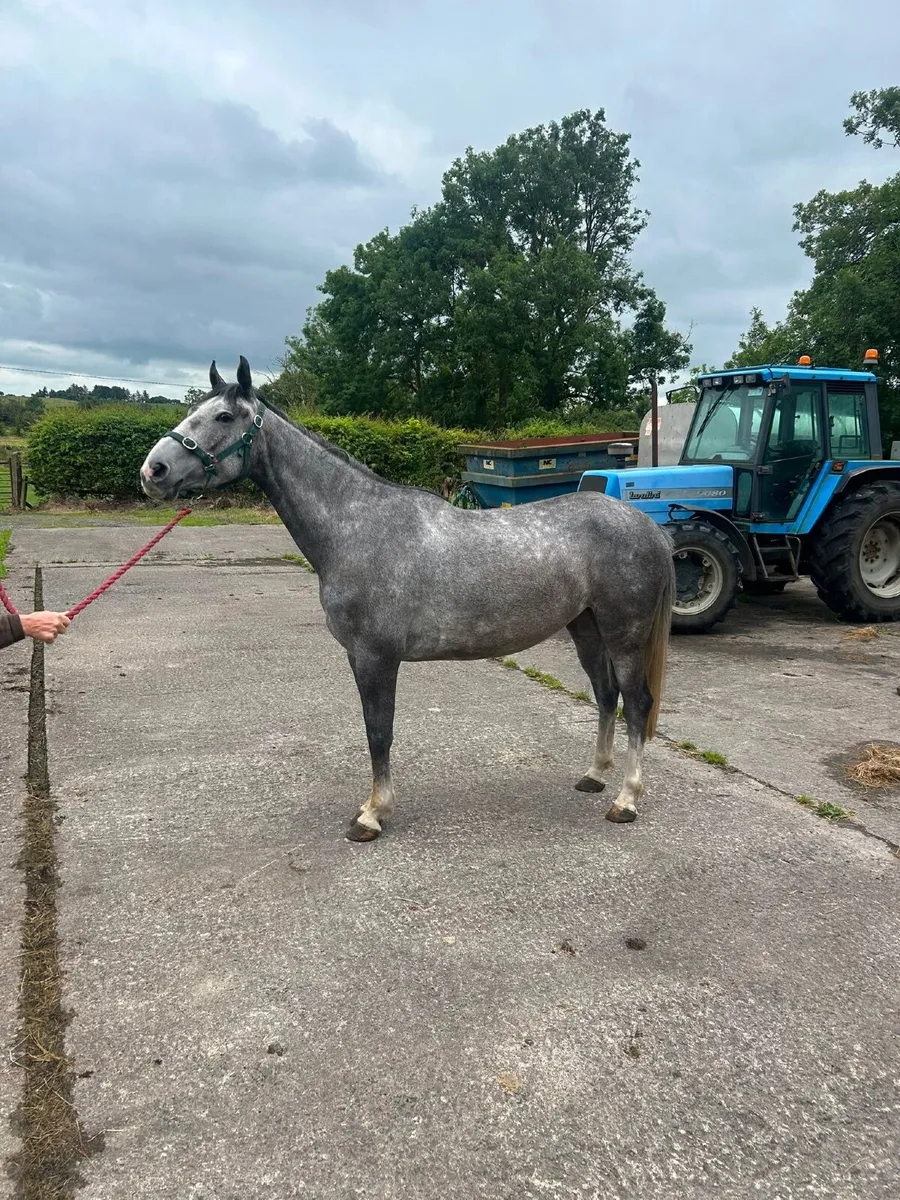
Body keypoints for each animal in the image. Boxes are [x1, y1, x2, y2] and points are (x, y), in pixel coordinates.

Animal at [140, 358, 676, 841]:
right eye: (192, 409)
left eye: (223, 417)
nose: (153, 471)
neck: (356, 527)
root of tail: (646, 525)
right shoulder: (364, 657)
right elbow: (377, 731)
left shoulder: (375, 657)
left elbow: (379, 731)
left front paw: (373, 815)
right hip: (586, 626)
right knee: (606, 695)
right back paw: (594, 776)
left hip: (624, 633)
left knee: (636, 702)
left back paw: (626, 800)